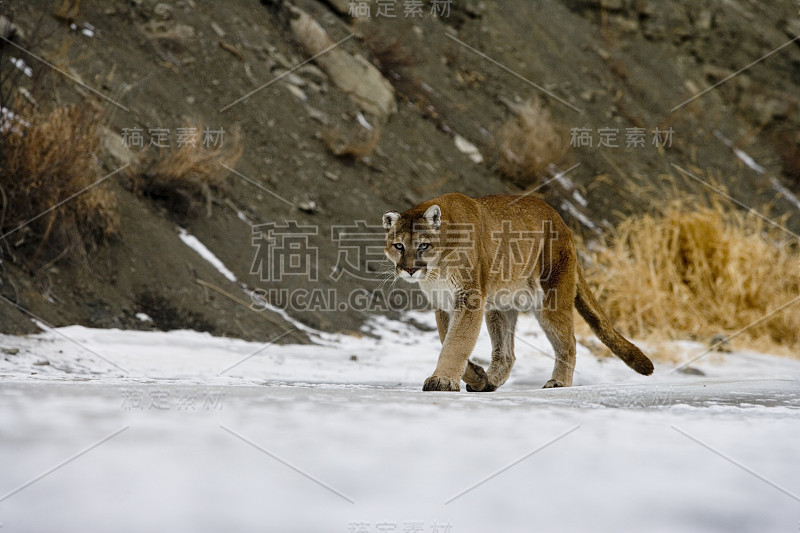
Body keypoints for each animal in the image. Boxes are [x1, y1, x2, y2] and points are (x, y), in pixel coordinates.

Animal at [382, 192, 656, 390]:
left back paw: (559, 382)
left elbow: (457, 341)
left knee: (569, 343)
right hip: (499, 306)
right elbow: (446, 338)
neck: (437, 267)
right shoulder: (443, 302)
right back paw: (488, 381)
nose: (409, 270)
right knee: (507, 353)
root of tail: (562, 222)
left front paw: (442, 380)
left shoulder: (468, 297)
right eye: (399, 246)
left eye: (423, 246)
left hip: (551, 299)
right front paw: (474, 375)